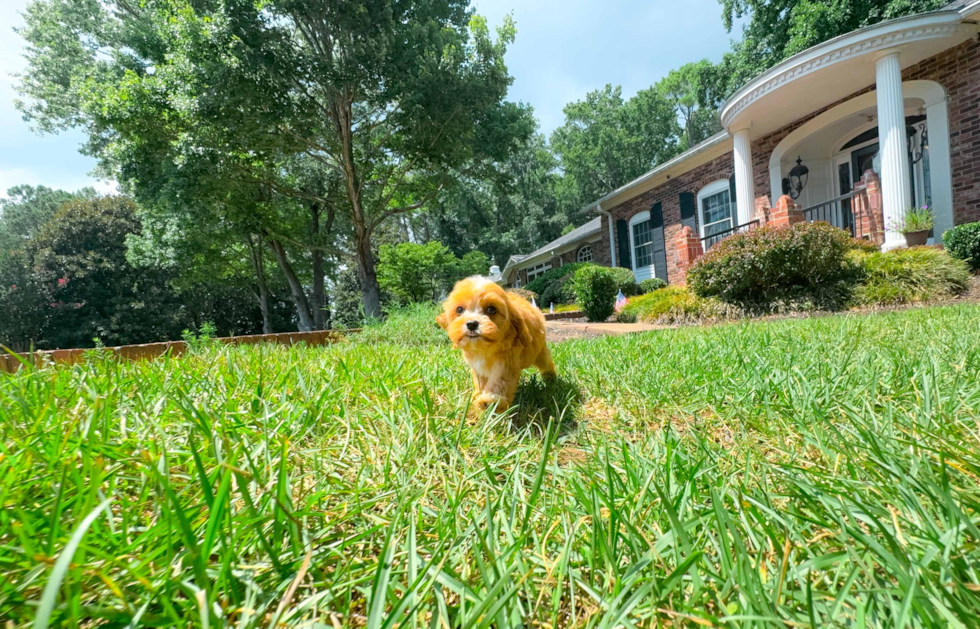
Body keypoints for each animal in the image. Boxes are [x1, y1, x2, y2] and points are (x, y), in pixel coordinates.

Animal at [434, 276, 552, 412]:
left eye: (491, 309)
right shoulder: (477, 367)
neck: (484, 348)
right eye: (459, 309)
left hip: (540, 352)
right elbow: (480, 381)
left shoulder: (506, 363)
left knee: (546, 362)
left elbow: (499, 380)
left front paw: (491, 399)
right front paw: (479, 395)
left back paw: (551, 377)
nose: (472, 324)